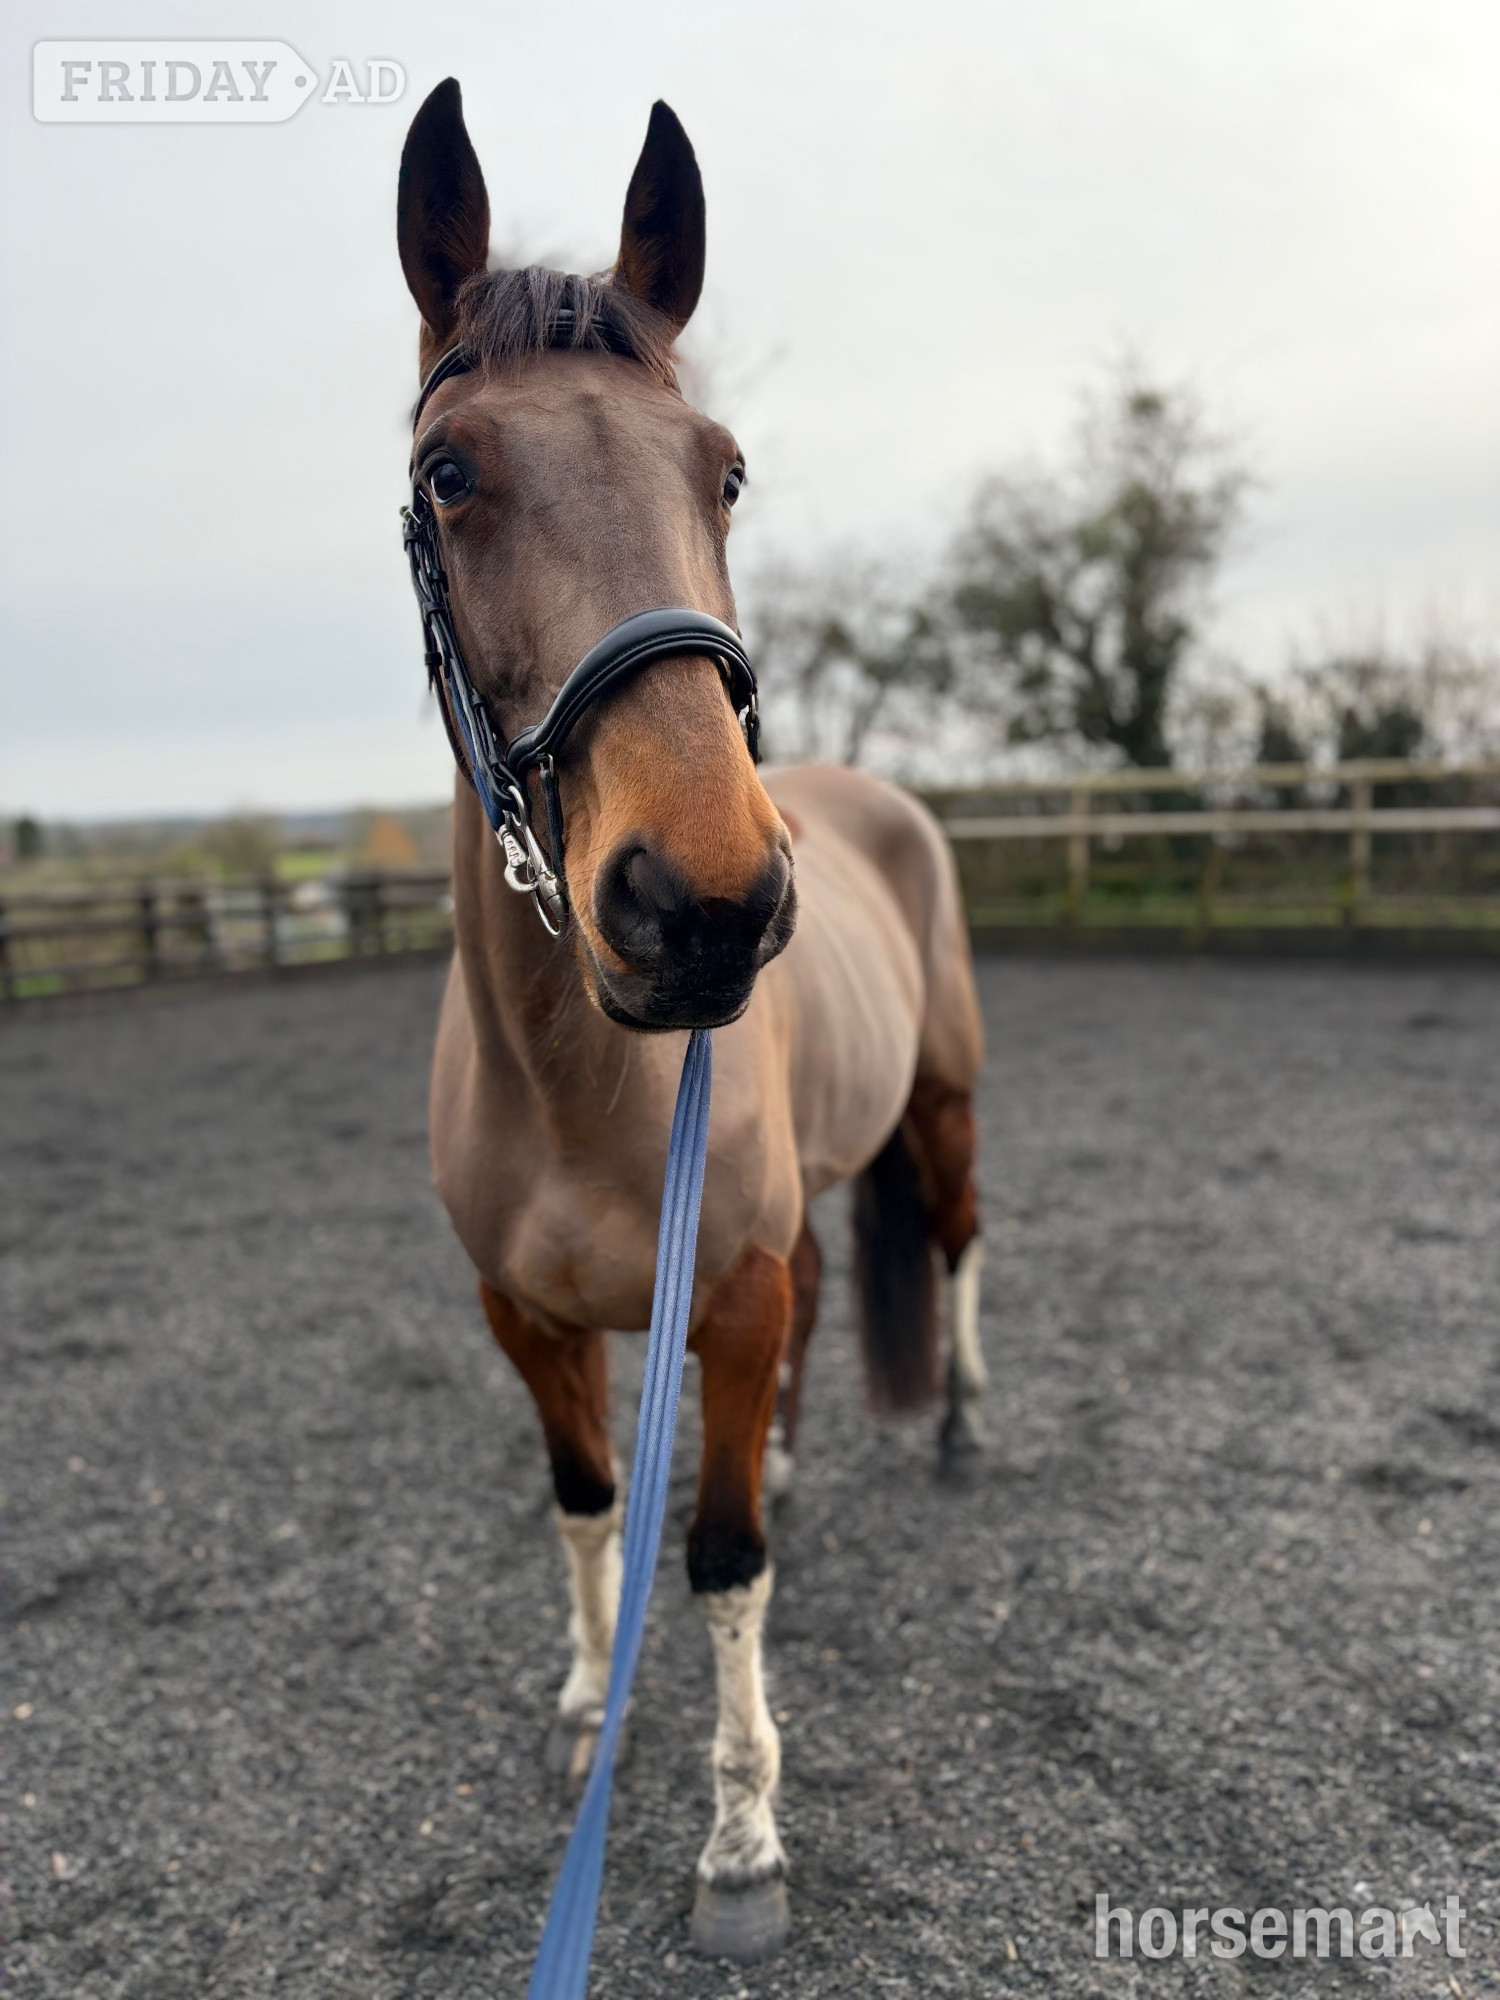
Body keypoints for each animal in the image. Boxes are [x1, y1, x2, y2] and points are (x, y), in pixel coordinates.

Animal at [397, 78, 988, 1961]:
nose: (707, 902)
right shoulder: (526, 1317)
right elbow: (593, 1508)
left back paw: (962, 1424)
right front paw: (589, 1709)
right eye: (449, 473)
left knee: (955, 1244)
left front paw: (741, 1846)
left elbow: (720, 1564)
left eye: (720, 470)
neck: (580, 1084)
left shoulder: (716, 1294)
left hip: (942, 1110)